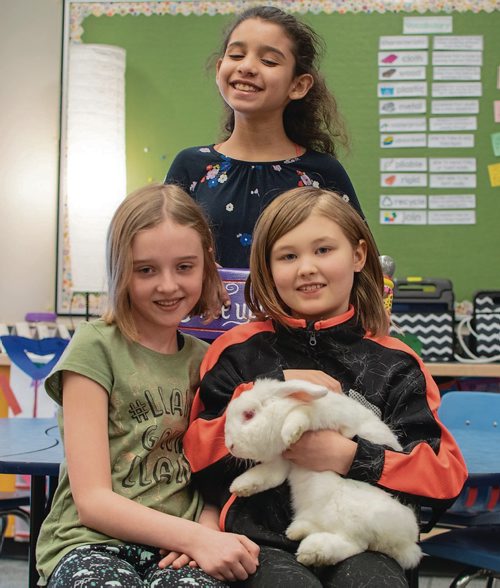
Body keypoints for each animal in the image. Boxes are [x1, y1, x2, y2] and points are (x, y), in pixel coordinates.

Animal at [225, 378, 424, 568]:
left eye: (249, 414)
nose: (230, 446)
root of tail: (409, 542)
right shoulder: (281, 463)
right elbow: (266, 476)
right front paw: (238, 487)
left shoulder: (327, 417)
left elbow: (302, 414)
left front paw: (290, 434)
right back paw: (297, 531)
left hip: (358, 519)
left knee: (355, 544)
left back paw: (312, 552)